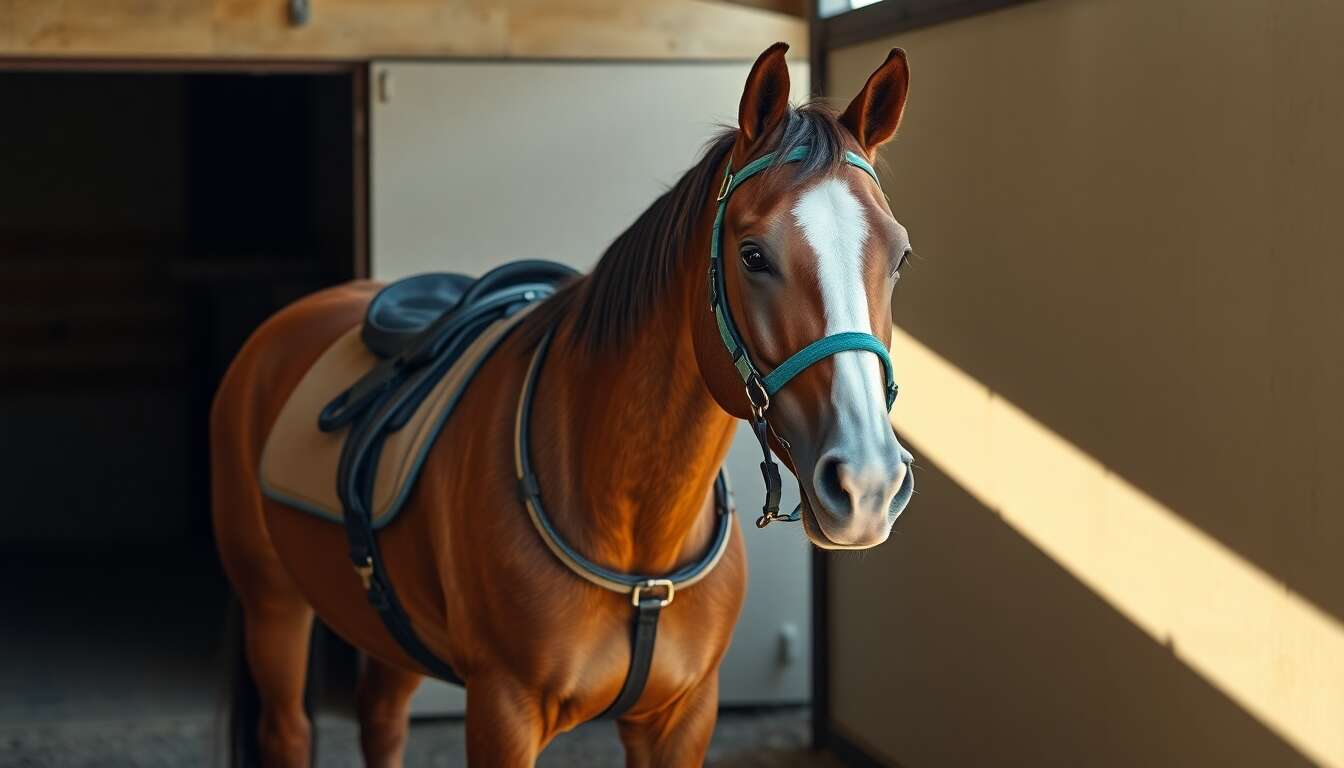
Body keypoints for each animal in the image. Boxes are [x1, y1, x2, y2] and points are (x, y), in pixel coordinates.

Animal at [210, 41, 914, 767]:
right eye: (752, 255)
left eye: (899, 259)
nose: (867, 484)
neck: (634, 529)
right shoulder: (502, 713)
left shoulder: (681, 718)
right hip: (273, 603)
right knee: (288, 728)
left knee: (381, 718)